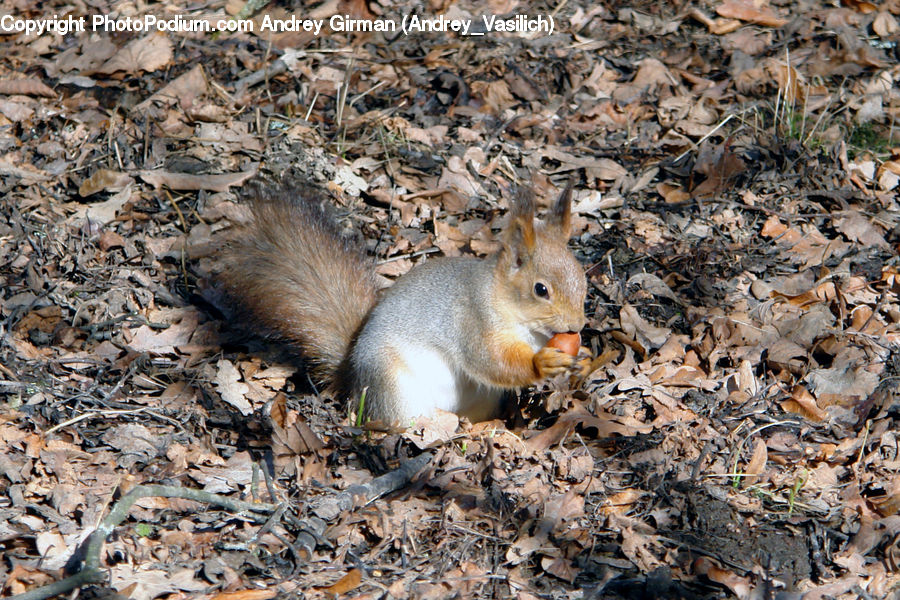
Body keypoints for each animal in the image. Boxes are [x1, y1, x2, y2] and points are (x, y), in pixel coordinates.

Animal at [220, 181, 587, 426]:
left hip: (482, 398)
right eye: (541, 289)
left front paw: (581, 361)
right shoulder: (473, 319)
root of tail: (354, 383)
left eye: (583, 278)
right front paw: (542, 363)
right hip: (393, 386)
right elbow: (489, 360)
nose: (577, 326)